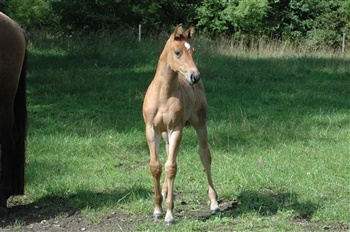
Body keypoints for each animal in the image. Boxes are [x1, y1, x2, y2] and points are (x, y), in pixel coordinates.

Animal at [142, 24, 219, 224]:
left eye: (193, 50)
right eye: (177, 52)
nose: (195, 76)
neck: (163, 94)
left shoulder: (176, 129)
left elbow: (171, 168)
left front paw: (169, 214)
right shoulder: (151, 130)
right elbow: (156, 166)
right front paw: (157, 209)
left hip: (199, 122)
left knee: (204, 155)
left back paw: (214, 203)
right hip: (164, 134)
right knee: (169, 155)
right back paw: (164, 193)